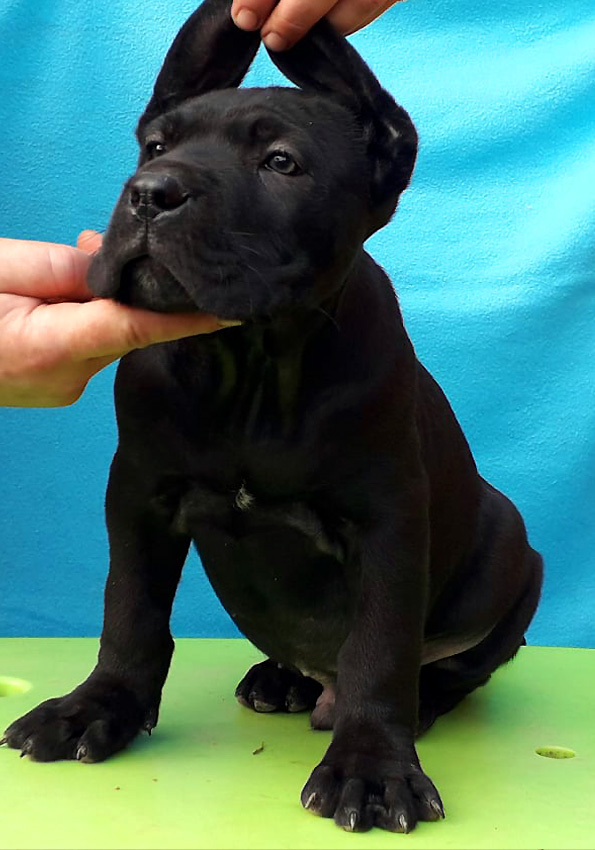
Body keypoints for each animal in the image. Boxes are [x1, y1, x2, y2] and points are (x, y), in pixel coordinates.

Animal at [2, 0, 543, 833]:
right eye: (155, 146)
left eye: (281, 164)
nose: (151, 191)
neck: (249, 364)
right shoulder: (138, 493)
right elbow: (129, 611)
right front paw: (95, 708)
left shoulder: (387, 518)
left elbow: (380, 647)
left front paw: (372, 766)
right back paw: (282, 680)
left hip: (513, 548)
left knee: (453, 667)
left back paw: (413, 704)